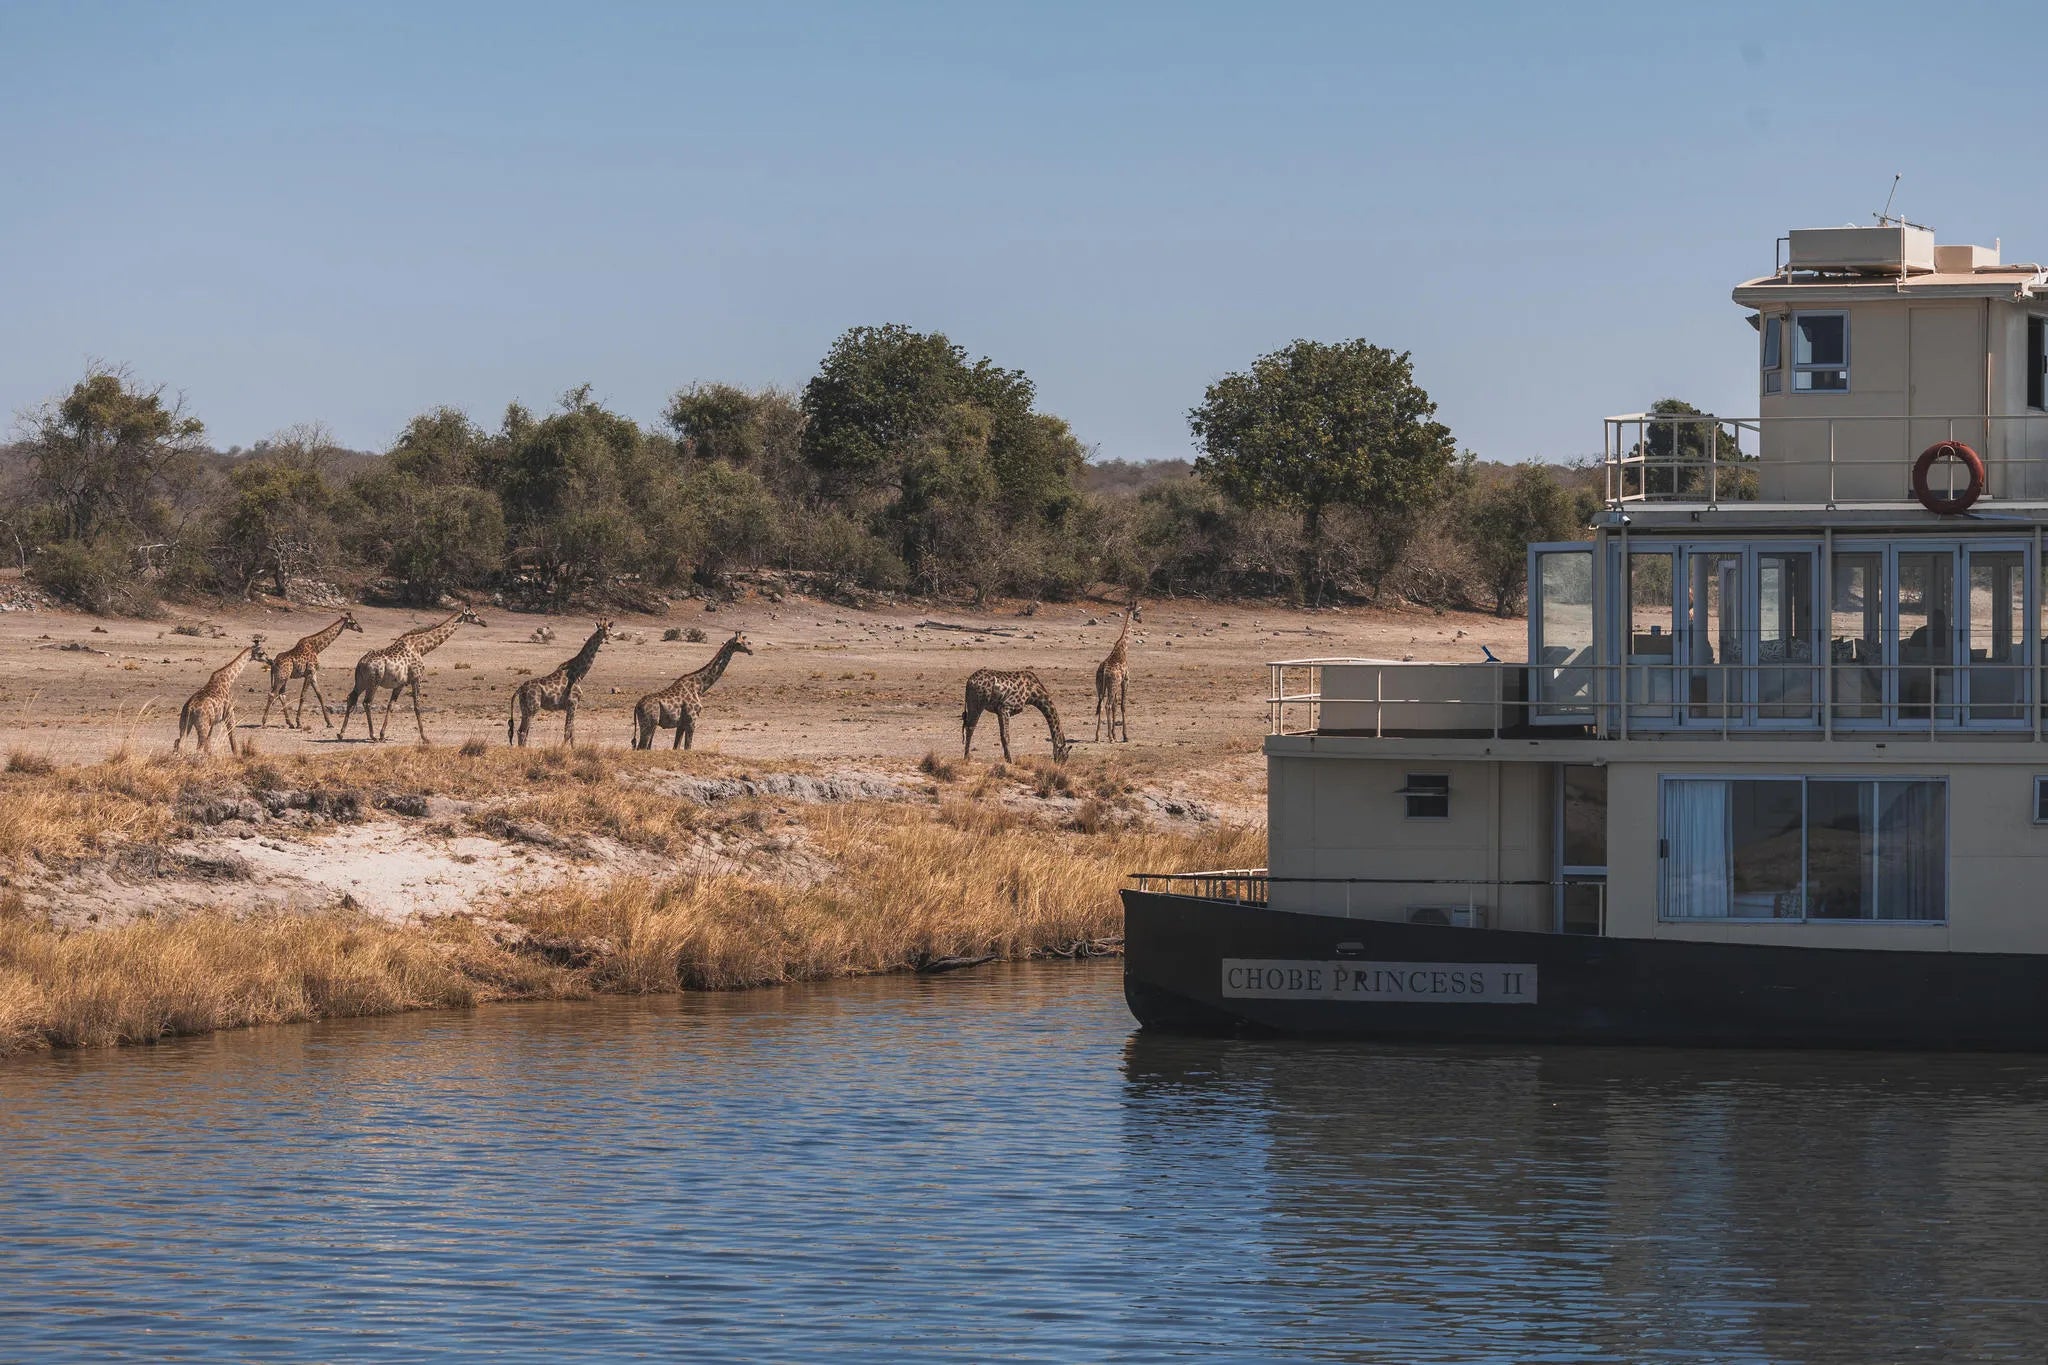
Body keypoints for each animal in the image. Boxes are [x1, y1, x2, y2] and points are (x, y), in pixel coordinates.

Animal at [337, 605, 487, 743]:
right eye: (474, 614)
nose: (484, 622)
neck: (421, 648)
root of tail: (360, 663)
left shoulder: (400, 684)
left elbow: (390, 706)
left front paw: (383, 735)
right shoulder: (417, 678)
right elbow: (417, 706)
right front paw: (425, 738)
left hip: (361, 682)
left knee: (351, 697)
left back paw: (341, 734)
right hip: (373, 682)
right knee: (367, 702)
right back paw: (372, 736)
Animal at [508, 618, 618, 746]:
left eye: (609, 628)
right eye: (600, 629)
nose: (607, 636)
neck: (579, 673)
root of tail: (519, 689)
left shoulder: (572, 706)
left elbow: (572, 734)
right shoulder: (572, 703)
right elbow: (567, 732)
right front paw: (561, 749)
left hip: (524, 708)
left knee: (521, 731)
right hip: (532, 707)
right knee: (523, 732)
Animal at [1093, 600, 1142, 743]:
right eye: (1138, 613)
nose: (1141, 620)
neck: (1123, 648)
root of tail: (1104, 671)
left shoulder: (1116, 685)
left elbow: (1115, 705)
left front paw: (1115, 734)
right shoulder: (1125, 681)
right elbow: (1122, 705)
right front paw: (1125, 736)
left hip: (1100, 686)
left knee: (1101, 705)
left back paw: (1097, 736)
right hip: (1112, 685)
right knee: (1107, 705)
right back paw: (1110, 738)